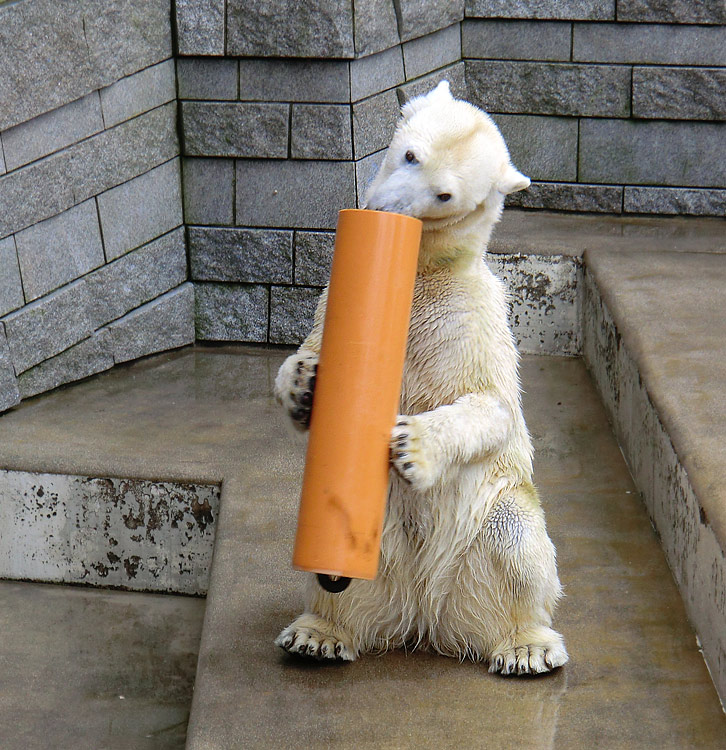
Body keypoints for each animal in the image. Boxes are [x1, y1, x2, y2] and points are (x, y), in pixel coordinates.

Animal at [272, 81, 568, 676]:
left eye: (445, 195)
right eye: (410, 154)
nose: (387, 208)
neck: (421, 273)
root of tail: (427, 619)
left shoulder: (471, 320)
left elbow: (492, 405)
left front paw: (412, 448)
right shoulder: (333, 297)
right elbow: (308, 350)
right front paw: (305, 382)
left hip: (481, 538)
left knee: (517, 538)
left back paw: (526, 646)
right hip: (378, 547)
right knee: (334, 587)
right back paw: (318, 634)